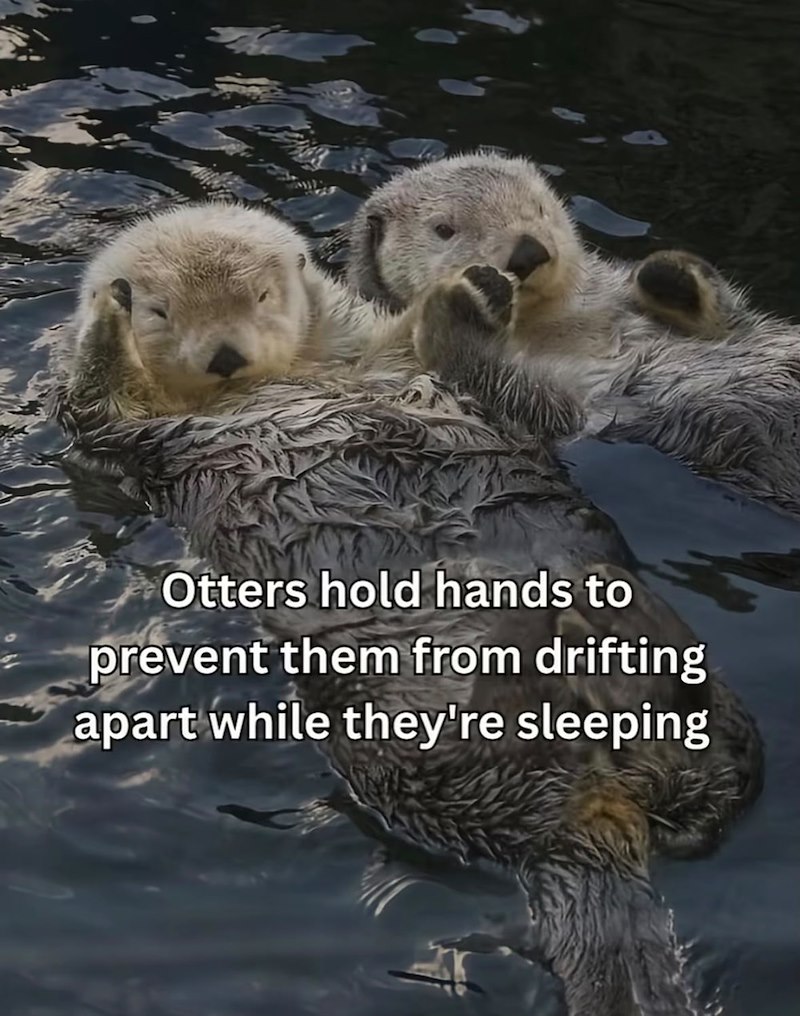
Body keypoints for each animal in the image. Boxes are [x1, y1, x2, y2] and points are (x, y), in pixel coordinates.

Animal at [52, 210, 763, 1015]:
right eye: (161, 313)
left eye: (262, 296)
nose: (225, 355)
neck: (290, 378)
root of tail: (585, 823)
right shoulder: (119, 443)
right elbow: (99, 401)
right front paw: (106, 312)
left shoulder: (374, 352)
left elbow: (405, 339)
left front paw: (472, 291)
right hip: (421, 765)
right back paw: (595, 642)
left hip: (691, 756)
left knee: (723, 776)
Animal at [348, 151, 800, 515]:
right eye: (444, 229)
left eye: (539, 208)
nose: (528, 251)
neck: (554, 325)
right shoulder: (588, 407)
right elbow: (529, 399)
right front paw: (458, 305)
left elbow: (731, 318)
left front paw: (668, 273)